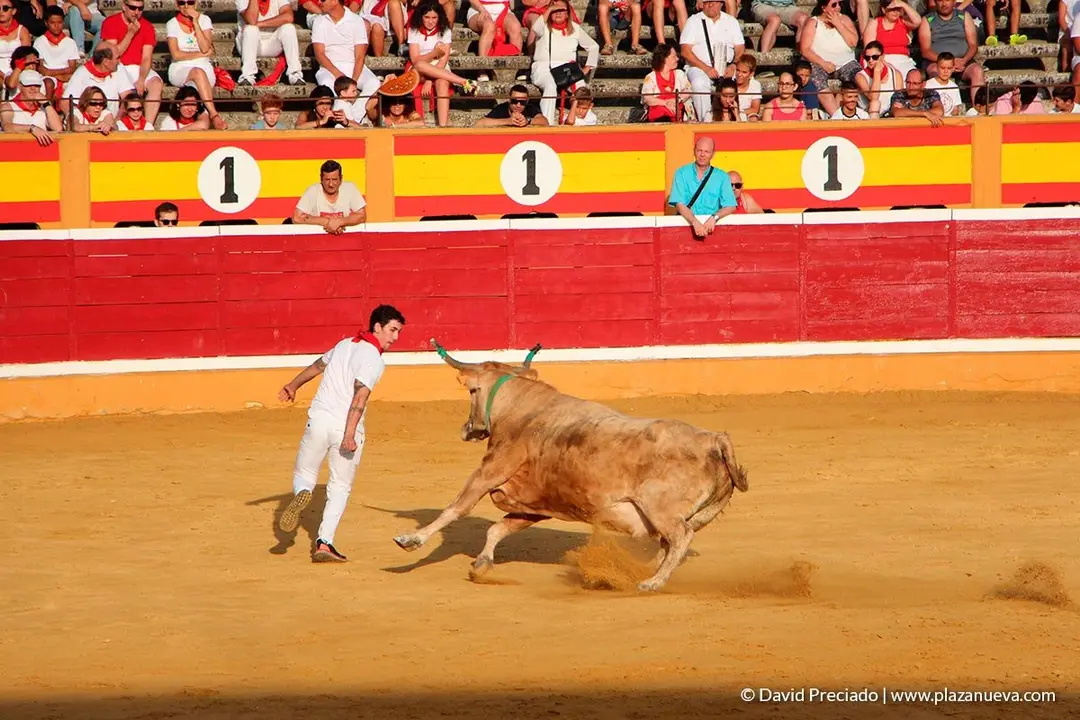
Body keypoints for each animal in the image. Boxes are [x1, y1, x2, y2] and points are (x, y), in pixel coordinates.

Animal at [392, 339, 749, 592]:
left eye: (472, 390)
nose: (468, 430)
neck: (523, 410)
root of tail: (714, 439)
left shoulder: (489, 472)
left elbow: (456, 508)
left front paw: (411, 541)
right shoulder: (535, 504)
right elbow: (498, 528)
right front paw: (481, 564)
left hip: (660, 507)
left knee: (680, 537)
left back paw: (651, 582)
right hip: (696, 514)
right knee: (669, 543)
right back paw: (645, 573)